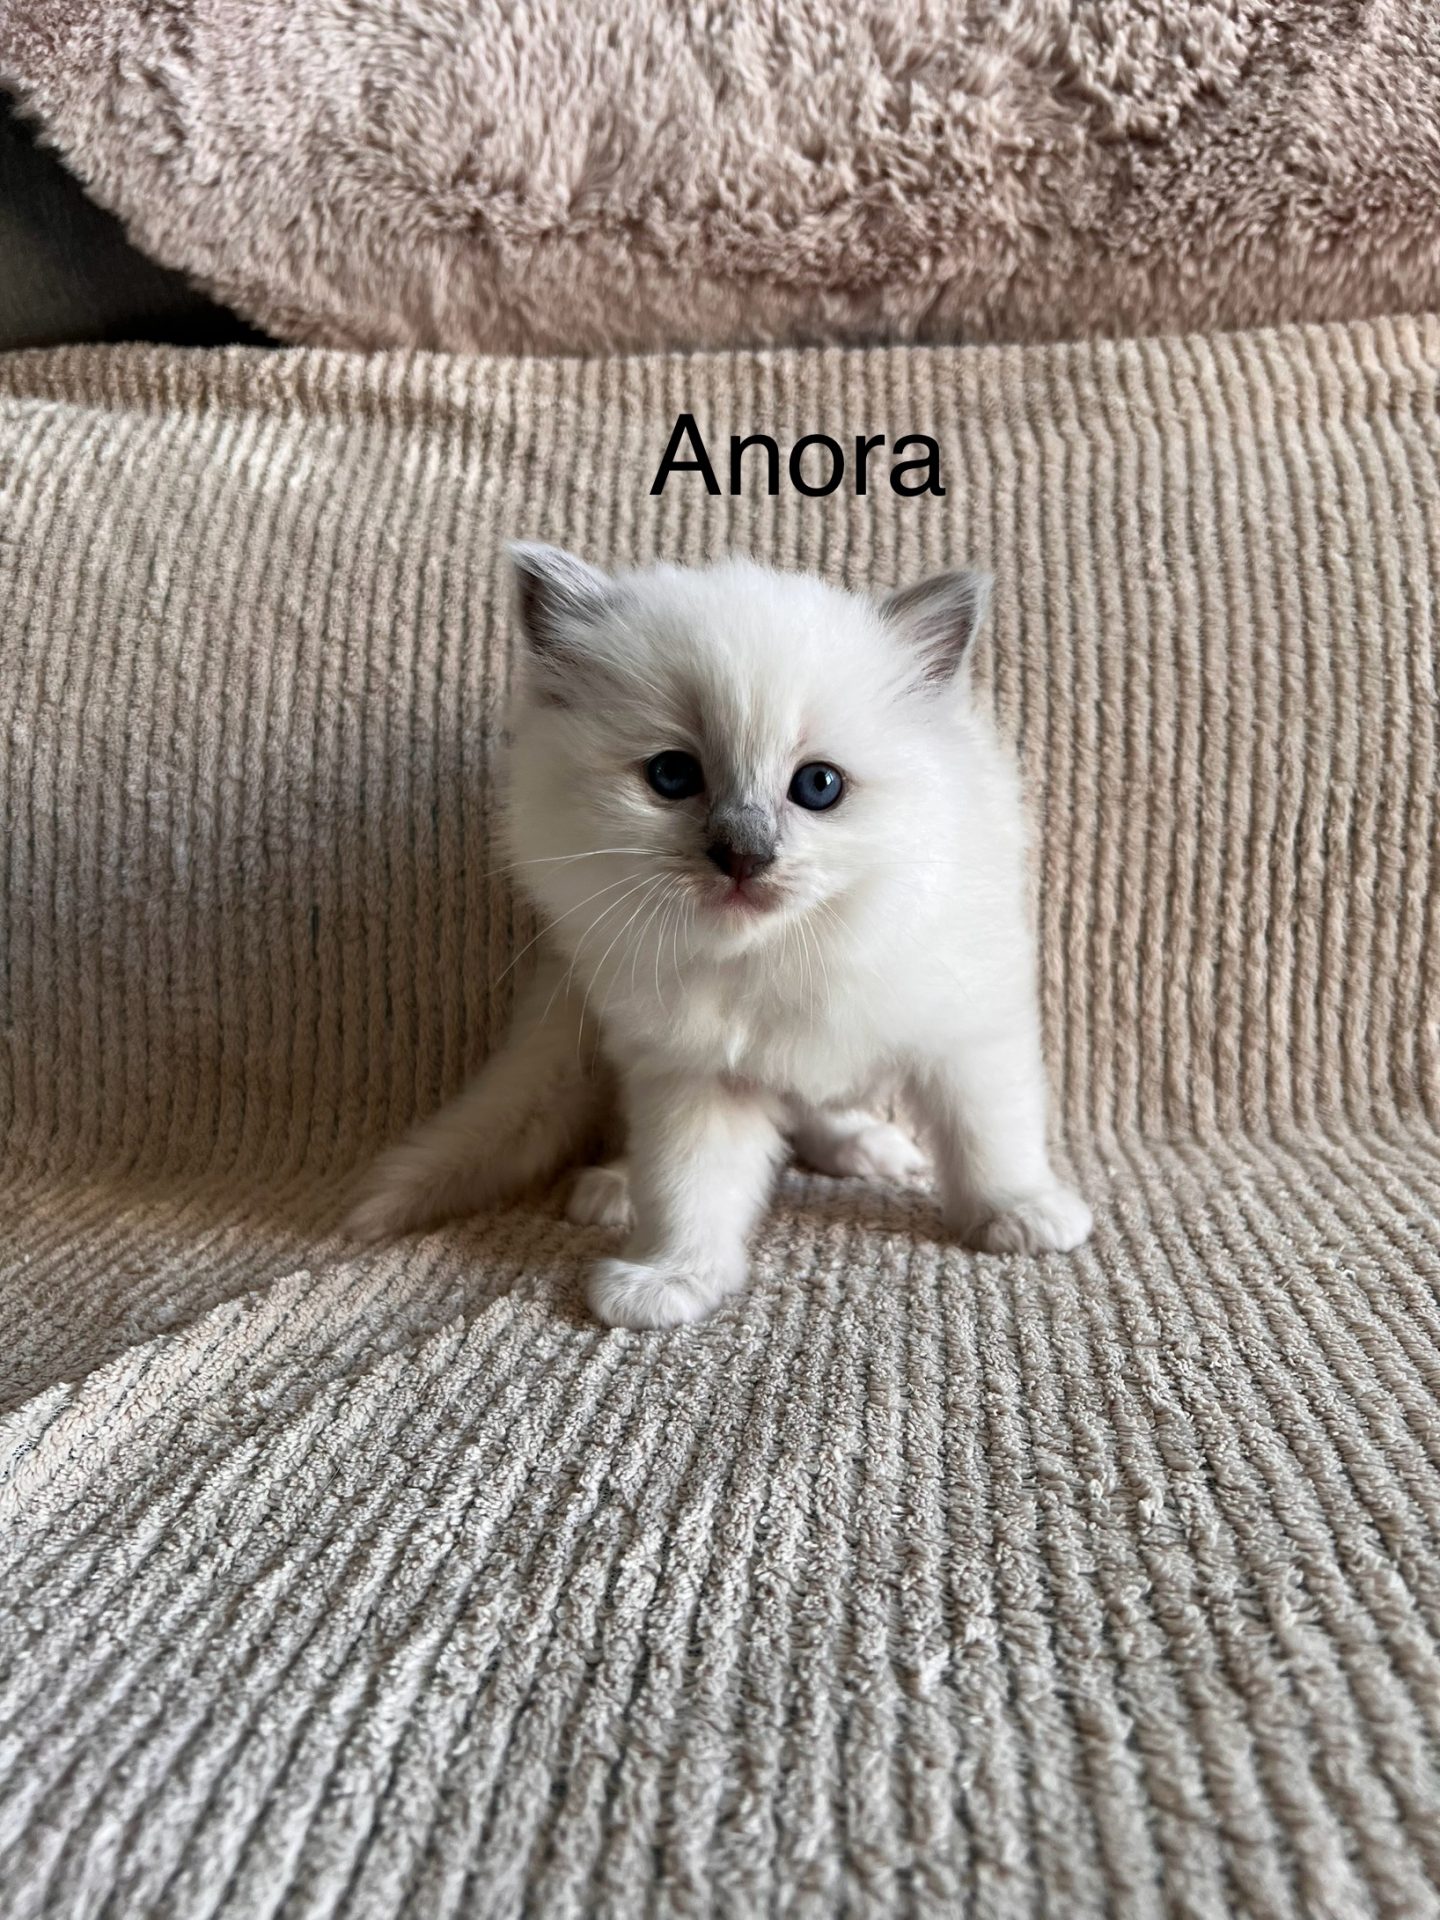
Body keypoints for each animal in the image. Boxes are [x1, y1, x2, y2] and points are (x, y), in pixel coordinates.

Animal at [347, 544, 1092, 1327]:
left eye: (819, 786)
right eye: (672, 775)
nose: (744, 856)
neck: (779, 952)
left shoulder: (968, 1032)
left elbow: (989, 1137)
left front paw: (1021, 1214)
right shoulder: (694, 1075)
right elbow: (689, 1188)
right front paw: (668, 1278)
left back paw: (867, 1148)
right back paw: (617, 1189)